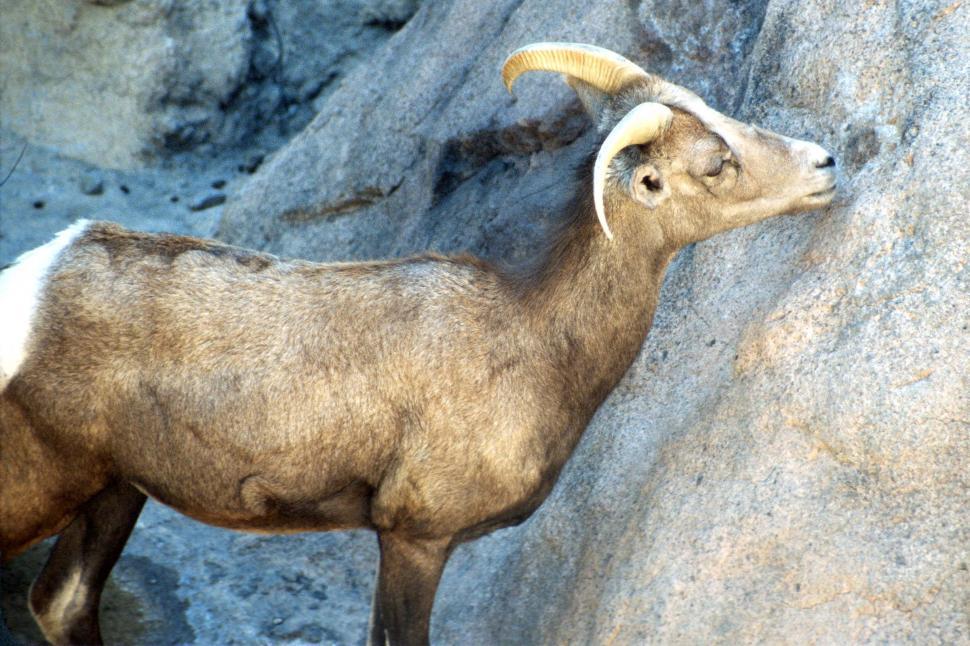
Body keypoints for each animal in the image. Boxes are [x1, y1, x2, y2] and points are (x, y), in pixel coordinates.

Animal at [0, 42, 836, 646]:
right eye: (716, 164)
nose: (826, 165)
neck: (537, 342)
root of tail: (35, 282)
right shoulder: (416, 540)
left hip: (116, 490)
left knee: (61, 602)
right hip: (42, 485)